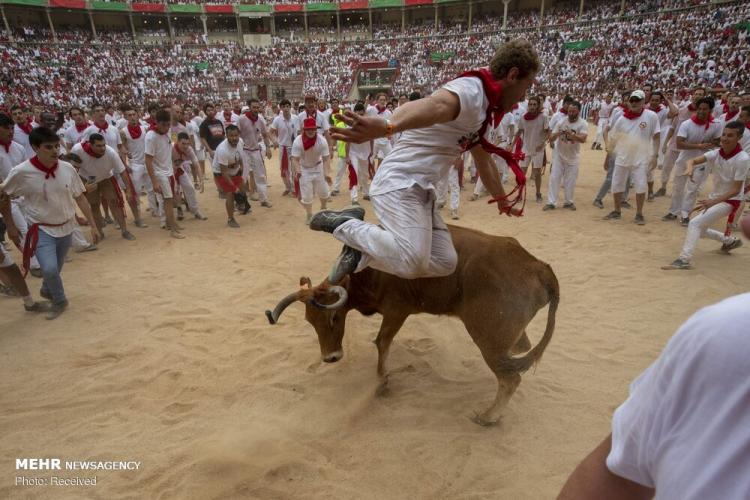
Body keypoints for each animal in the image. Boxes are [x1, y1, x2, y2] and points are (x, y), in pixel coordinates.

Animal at [266, 227, 560, 426]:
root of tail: (539, 267)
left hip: (489, 342)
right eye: (310, 321)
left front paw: (382, 382)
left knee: (510, 378)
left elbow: (382, 342)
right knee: (522, 349)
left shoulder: (397, 310)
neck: (371, 268)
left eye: (334, 318)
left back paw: (488, 417)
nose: (330, 357)